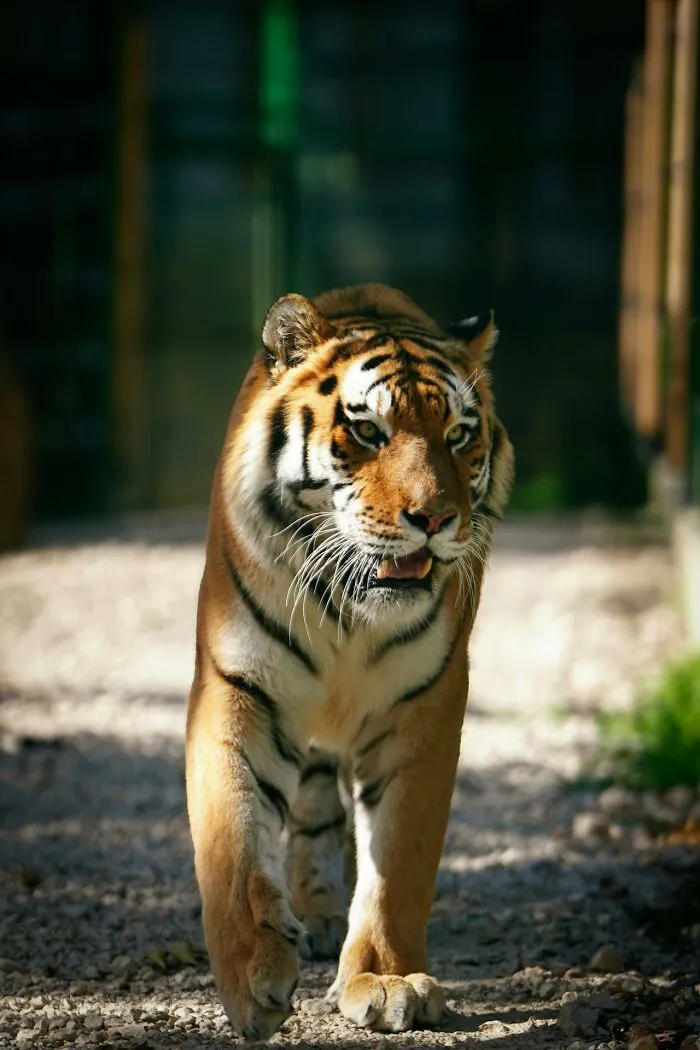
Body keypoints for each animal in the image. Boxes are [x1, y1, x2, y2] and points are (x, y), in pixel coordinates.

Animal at [186, 282, 514, 1039]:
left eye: (459, 435)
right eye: (369, 432)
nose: (436, 518)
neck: (348, 607)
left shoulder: (424, 707)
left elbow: (399, 861)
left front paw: (389, 982)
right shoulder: (236, 686)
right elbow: (229, 839)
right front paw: (252, 980)